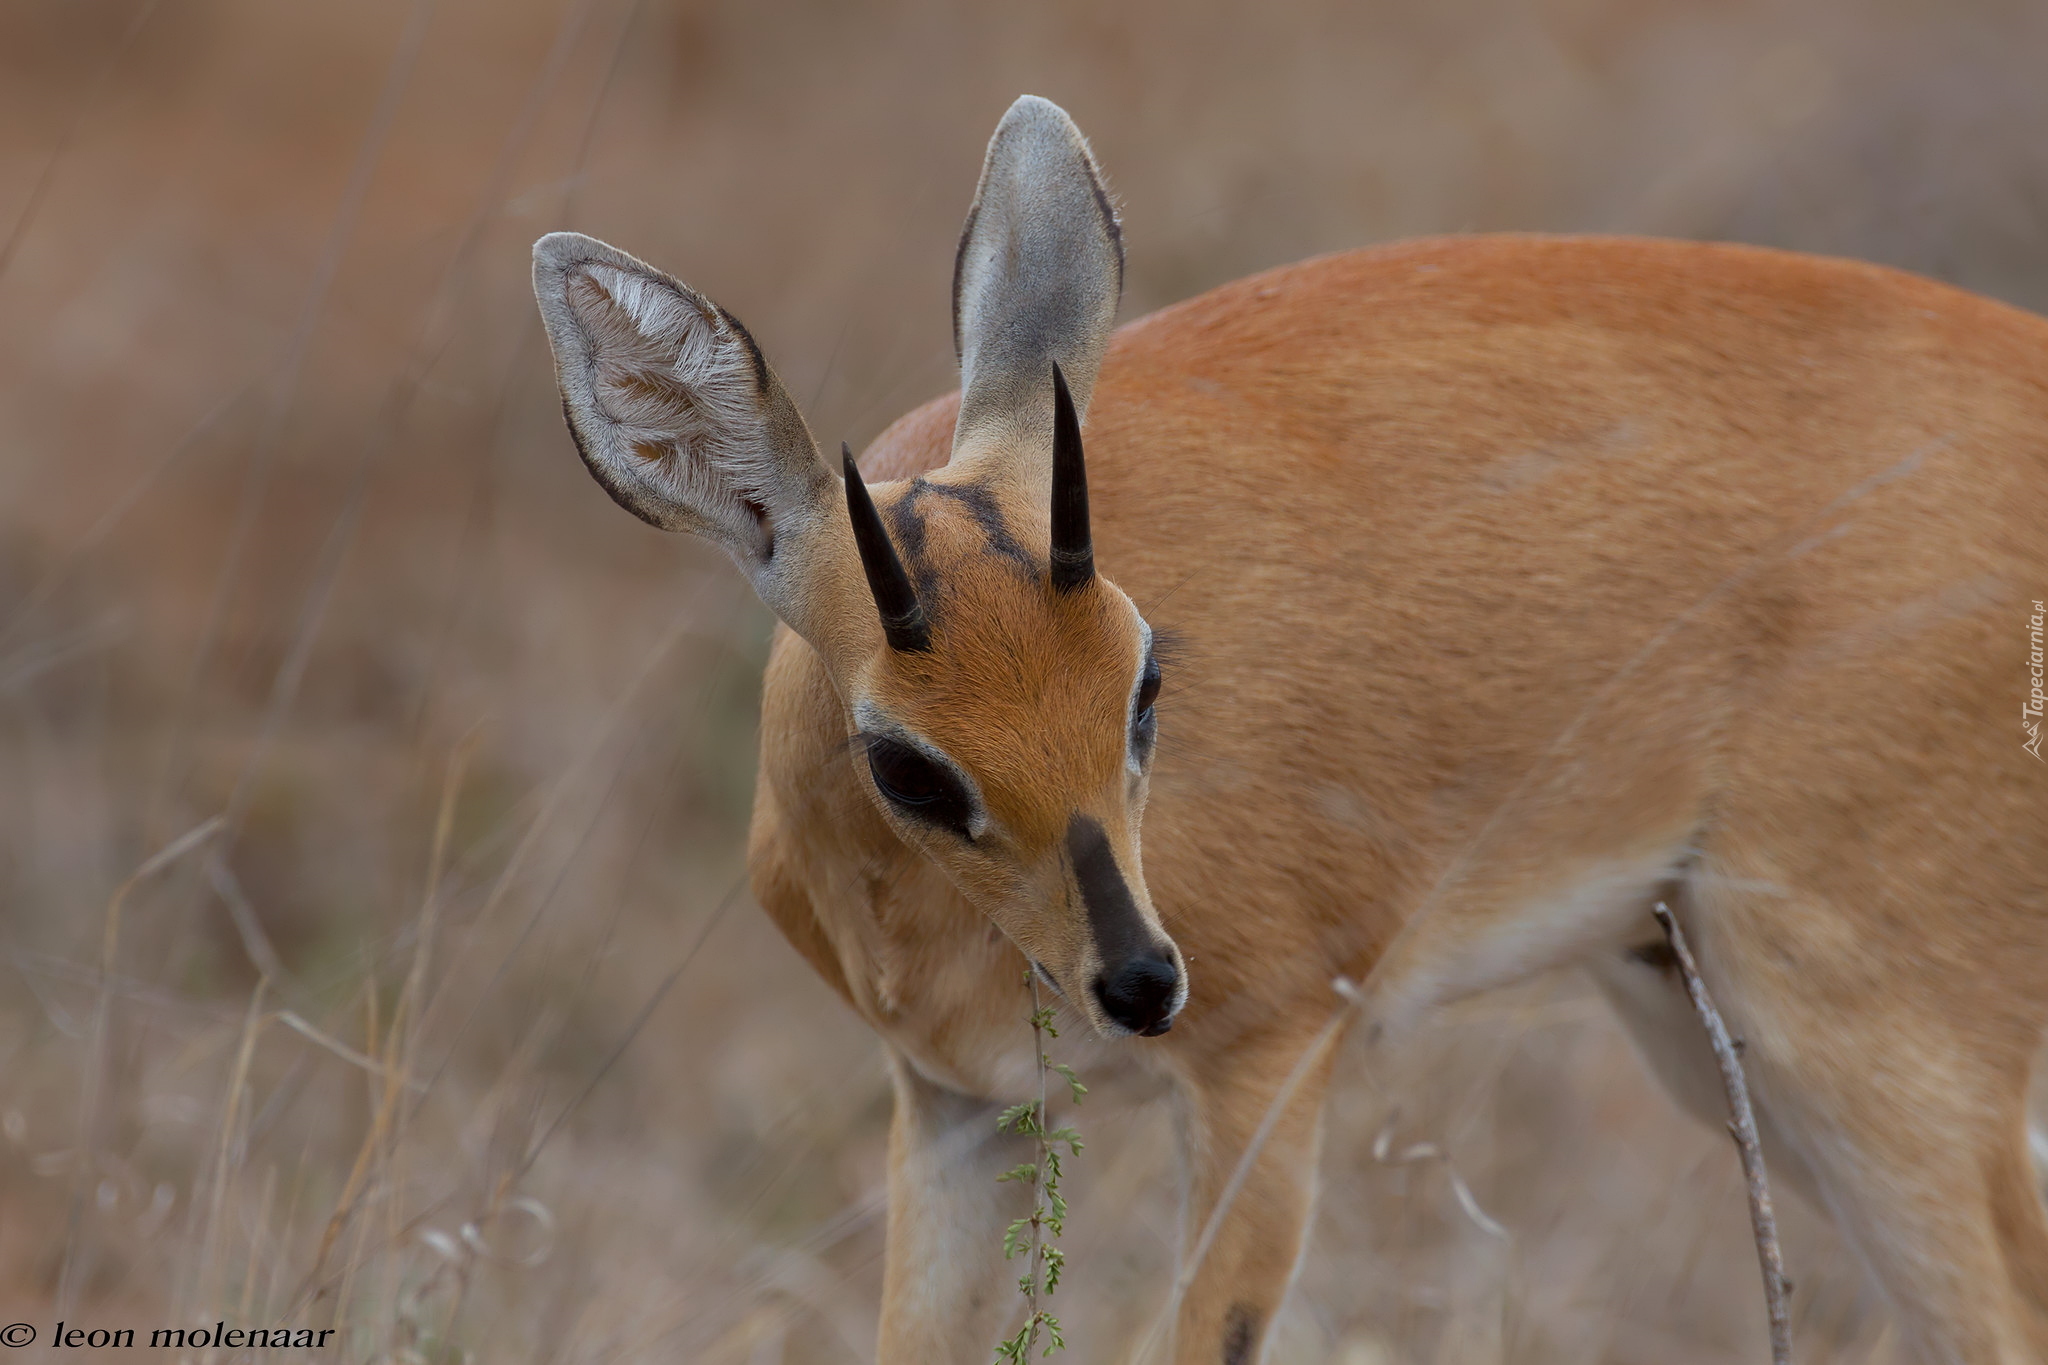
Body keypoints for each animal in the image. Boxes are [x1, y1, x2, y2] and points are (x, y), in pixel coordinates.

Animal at [532, 98, 2048, 1365]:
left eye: (1145, 678)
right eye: (906, 762)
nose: (1142, 982)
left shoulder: (1266, 1061)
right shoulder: (960, 1110)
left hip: (1857, 1045)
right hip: (1699, 1009)